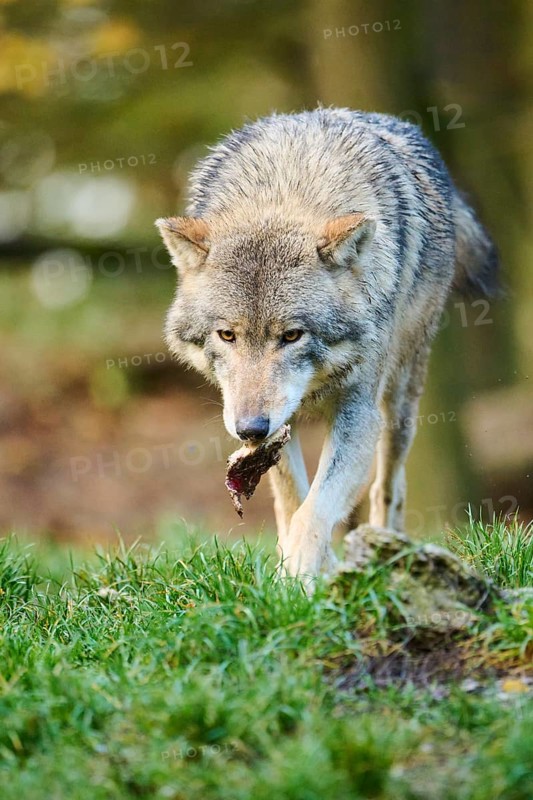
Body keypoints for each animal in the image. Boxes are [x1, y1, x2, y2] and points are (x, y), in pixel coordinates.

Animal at [156, 107, 498, 578]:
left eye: (292, 335)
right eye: (227, 335)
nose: (249, 428)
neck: (284, 190)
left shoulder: (358, 414)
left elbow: (315, 511)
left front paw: (298, 582)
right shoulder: (279, 429)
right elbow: (294, 503)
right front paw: (302, 569)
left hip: (399, 405)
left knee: (389, 485)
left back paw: (385, 549)